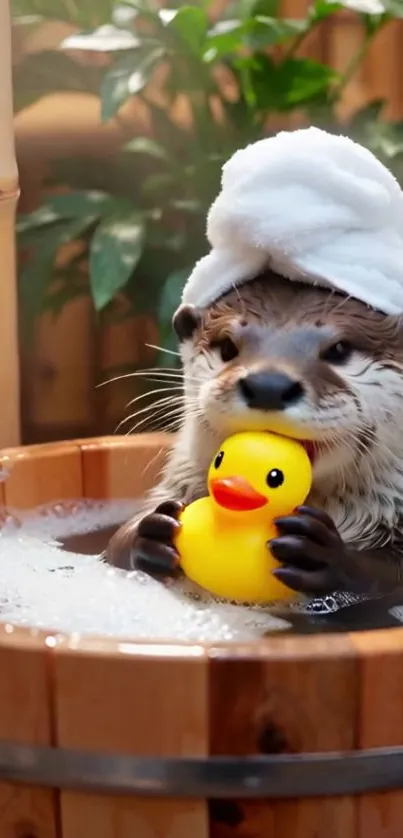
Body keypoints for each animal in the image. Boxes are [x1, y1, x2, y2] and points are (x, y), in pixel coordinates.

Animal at [106, 271, 403, 599]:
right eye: (227, 347)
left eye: (339, 349)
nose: (268, 385)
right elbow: (114, 549)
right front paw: (151, 533)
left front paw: (323, 556)